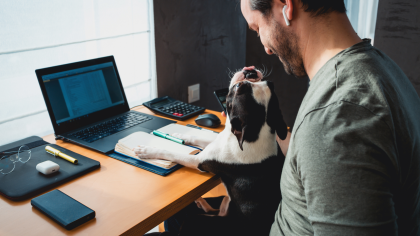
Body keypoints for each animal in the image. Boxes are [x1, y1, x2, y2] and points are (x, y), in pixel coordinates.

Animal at [136, 68, 288, 236]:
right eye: (269, 83)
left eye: (238, 88)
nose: (250, 71)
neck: (255, 133)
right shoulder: (217, 142)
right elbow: (196, 138)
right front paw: (179, 135)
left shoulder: (198, 161)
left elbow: (173, 153)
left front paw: (148, 150)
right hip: (226, 203)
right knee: (215, 210)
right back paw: (201, 202)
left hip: (196, 221)